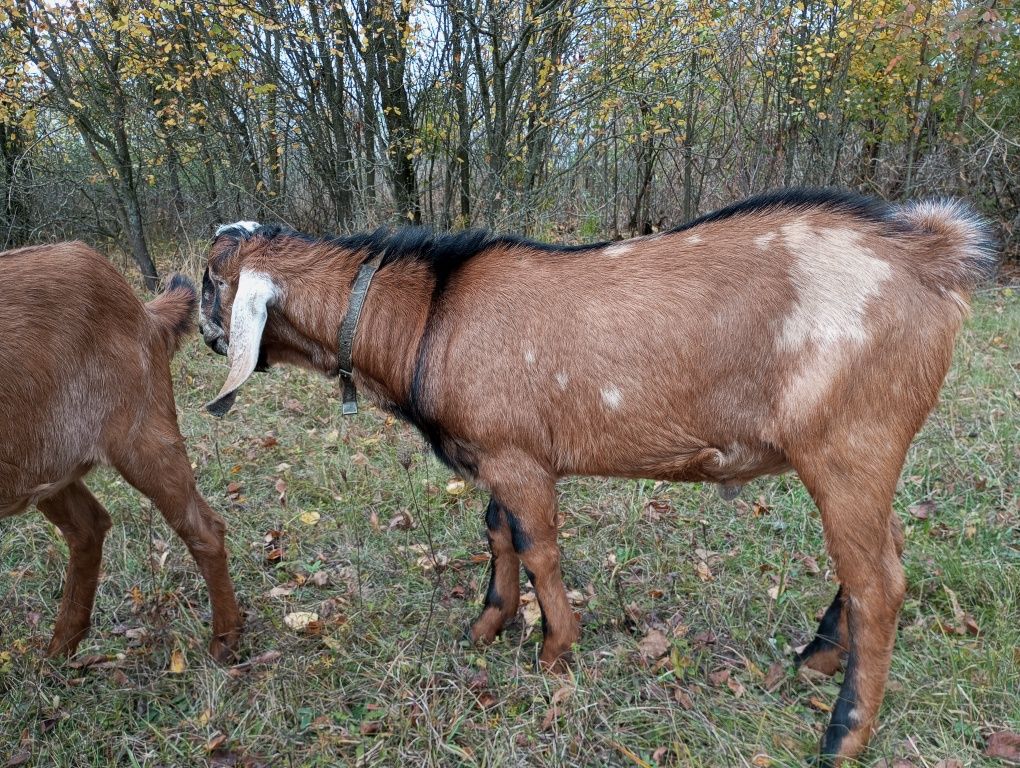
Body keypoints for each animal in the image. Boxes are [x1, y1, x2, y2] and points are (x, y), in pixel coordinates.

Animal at [0, 242, 241, 660]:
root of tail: (145, 312)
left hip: (145, 438)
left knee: (205, 529)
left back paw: (226, 642)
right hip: (42, 466)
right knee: (88, 527)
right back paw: (61, 649)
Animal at [196, 188, 995, 762]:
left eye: (210, 280)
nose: (195, 321)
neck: (427, 316)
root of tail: (931, 252)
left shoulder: (520, 458)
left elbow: (539, 545)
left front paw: (557, 651)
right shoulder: (497, 455)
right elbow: (498, 535)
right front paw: (487, 625)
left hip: (849, 441)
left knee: (878, 583)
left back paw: (844, 734)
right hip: (867, 453)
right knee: (887, 549)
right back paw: (817, 657)